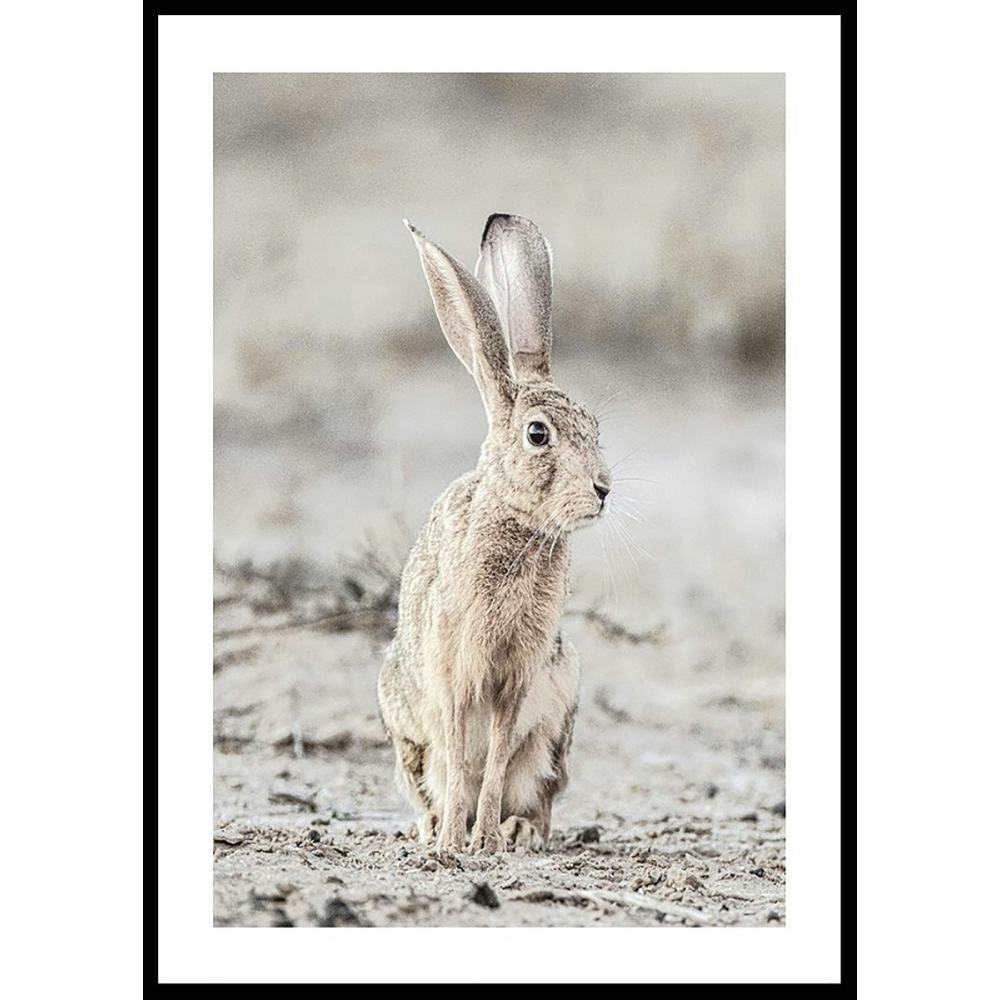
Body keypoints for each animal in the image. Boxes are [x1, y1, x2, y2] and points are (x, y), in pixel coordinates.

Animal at [376, 213, 612, 854]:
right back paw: (433, 827)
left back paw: (518, 830)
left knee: (536, 792)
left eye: (595, 428)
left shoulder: (519, 677)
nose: (603, 489)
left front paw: (484, 840)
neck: (519, 526)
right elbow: (462, 755)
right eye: (538, 435)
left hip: (559, 720)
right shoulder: (456, 670)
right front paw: (455, 843)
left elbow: (499, 756)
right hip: (406, 729)